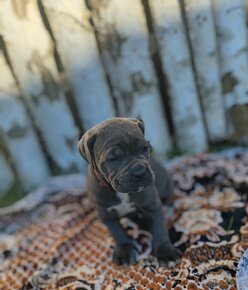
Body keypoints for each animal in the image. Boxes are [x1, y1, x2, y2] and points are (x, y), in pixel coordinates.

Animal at [78, 117, 181, 266]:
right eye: (113, 158)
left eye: (144, 148)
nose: (140, 172)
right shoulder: (105, 214)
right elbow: (117, 232)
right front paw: (124, 251)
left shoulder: (152, 205)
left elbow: (159, 229)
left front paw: (165, 251)